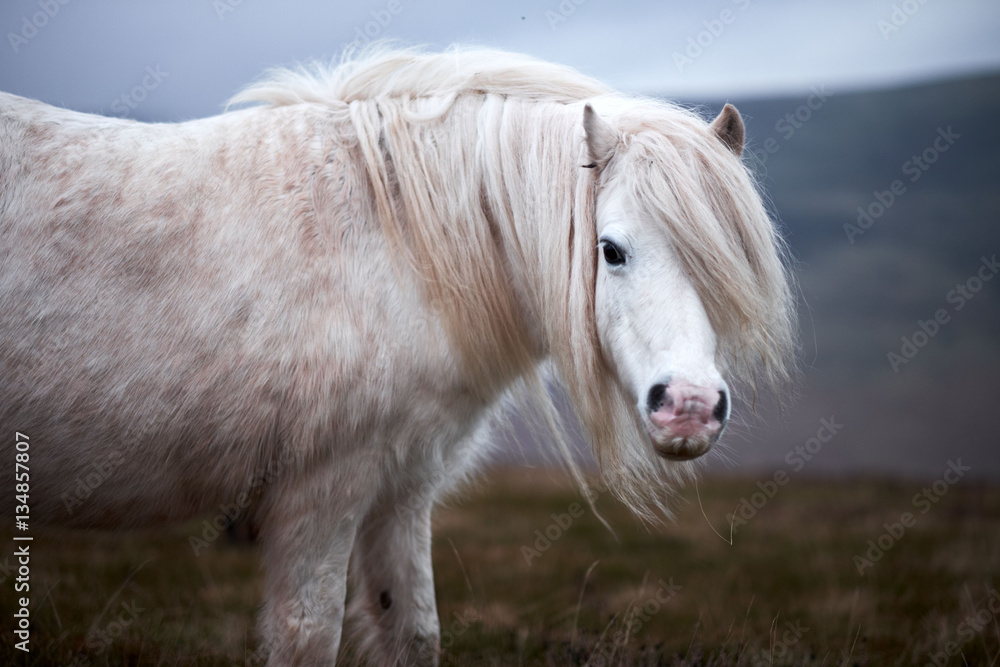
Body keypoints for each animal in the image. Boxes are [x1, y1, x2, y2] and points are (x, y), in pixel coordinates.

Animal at [1, 48, 796, 667]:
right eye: (611, 250)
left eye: (727, 257)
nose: (689, 408)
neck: (395, 244)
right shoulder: (321, 492)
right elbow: (308, 635)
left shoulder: (400, 491)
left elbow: (411, 632)